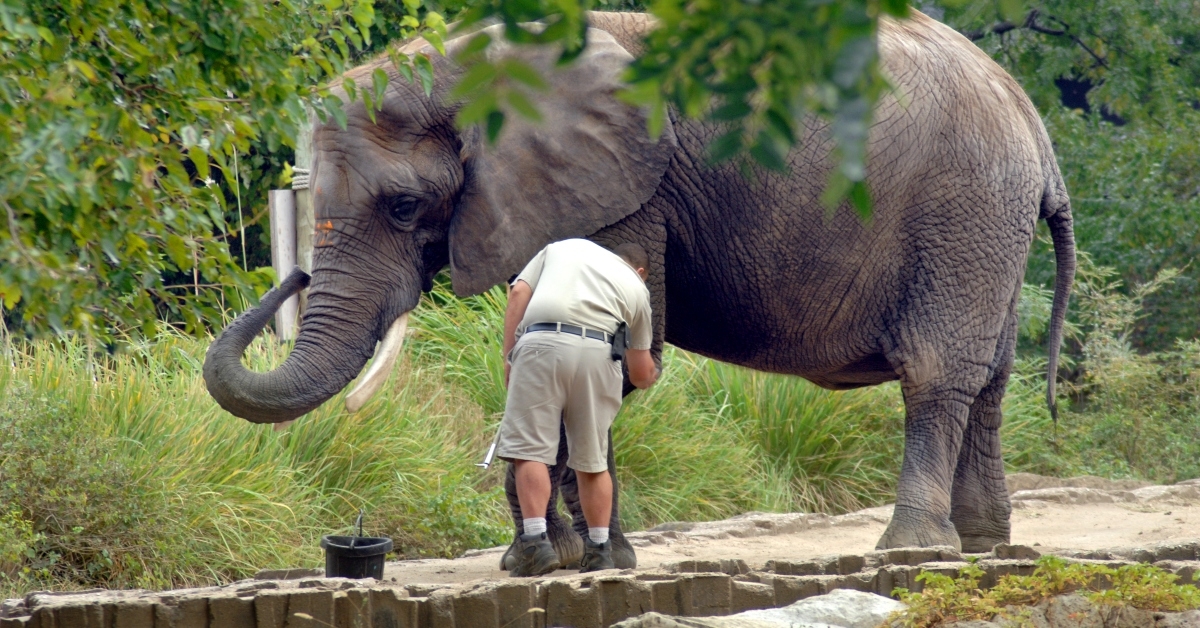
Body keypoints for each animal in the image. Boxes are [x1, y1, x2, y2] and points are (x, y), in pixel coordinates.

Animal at [203, 9, 1075, 564]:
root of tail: (1036, 127)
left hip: (964, 209)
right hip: (988, 227)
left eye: (404, 206)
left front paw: (585, 558)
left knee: (937, 375)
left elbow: (607, 357)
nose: (292, 272)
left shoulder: (626, 195)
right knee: (989, 380)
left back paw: (914, 551)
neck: (472, 53)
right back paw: (983, 544)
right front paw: (554, 558)